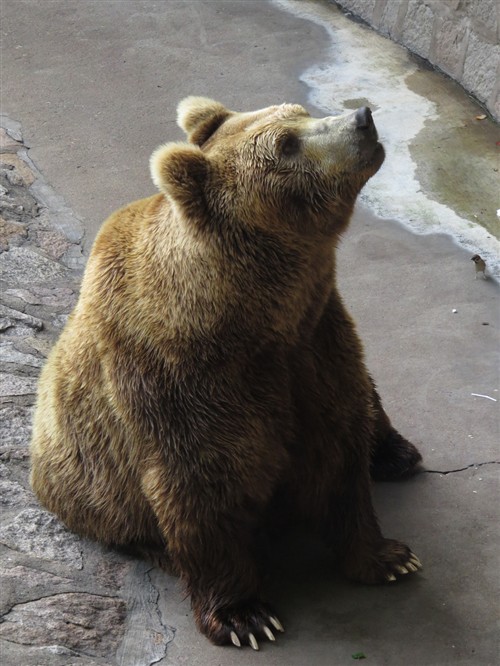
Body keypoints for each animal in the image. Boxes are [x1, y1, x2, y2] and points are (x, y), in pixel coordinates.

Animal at [30, 97, 422, 648]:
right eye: (287, 144)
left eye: (298, 112)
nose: (362, 117)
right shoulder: (177, 380)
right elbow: (202, 485)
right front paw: (247, 616)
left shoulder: (315, 344)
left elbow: (339, 442)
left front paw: (388, 557)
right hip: (89, 491)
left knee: (371, 403)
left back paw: (395, 452)